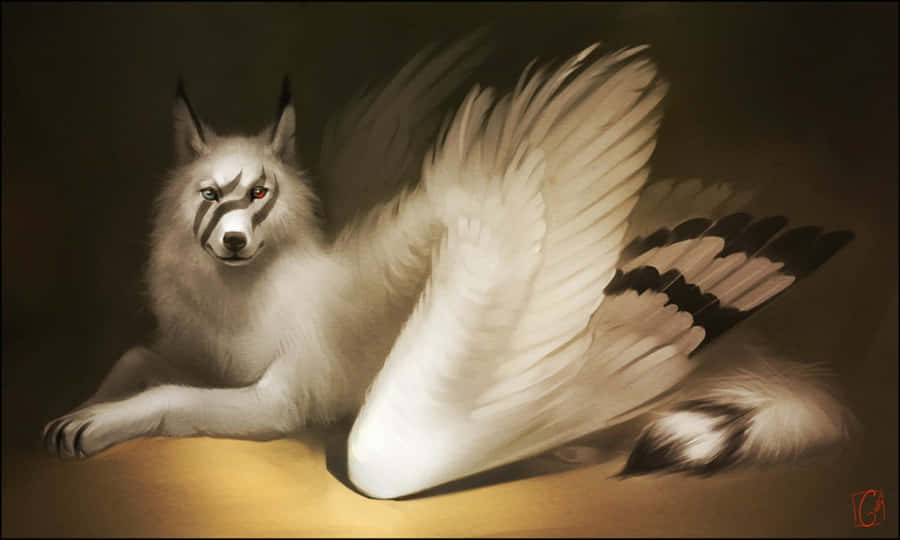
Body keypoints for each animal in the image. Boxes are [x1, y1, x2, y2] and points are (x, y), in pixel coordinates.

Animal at [43, 39, 855, 499]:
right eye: (211, 195)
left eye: (261, 192)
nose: (235, 241)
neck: (245, 290)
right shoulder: (198, 348)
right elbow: (136, 358)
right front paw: (83, 405)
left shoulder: (278, 400)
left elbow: (169, 397)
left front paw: (99, 421)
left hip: (399, 446)